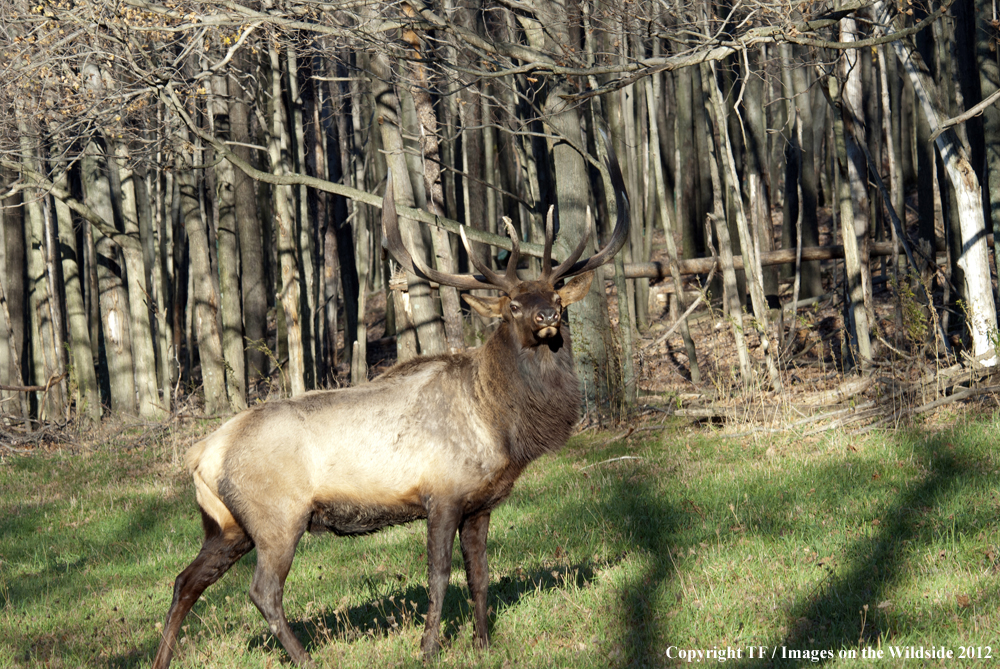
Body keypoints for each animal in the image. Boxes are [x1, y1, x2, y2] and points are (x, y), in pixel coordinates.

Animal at [151, 132, 628, 668]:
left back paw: (162, 659)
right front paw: (428, 648)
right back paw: (306, 658)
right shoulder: (442, 493)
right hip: (276, 518)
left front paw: (483, 642)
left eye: (556, 295)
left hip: (226, 526)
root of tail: (200, 455)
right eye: (513, 305)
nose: (548, 316)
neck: (501, 426)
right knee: (263, 591)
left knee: (184, 581)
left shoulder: (480, 503)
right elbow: (439, 576)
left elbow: (480, 575)